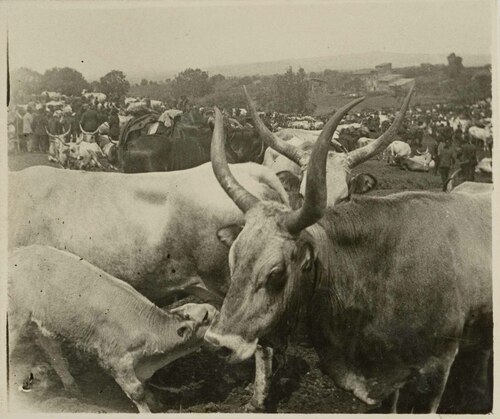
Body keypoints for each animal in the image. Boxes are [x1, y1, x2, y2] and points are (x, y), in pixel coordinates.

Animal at [8, 246, 217, 414]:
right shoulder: (116, 359)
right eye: (207, 317)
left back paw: (73, 389)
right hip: (15, 317)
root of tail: (20, 251)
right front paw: (148, 411)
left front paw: (157, 403)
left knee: (52, 350)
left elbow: (144, 386)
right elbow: (136, 391)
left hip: (43, 322)